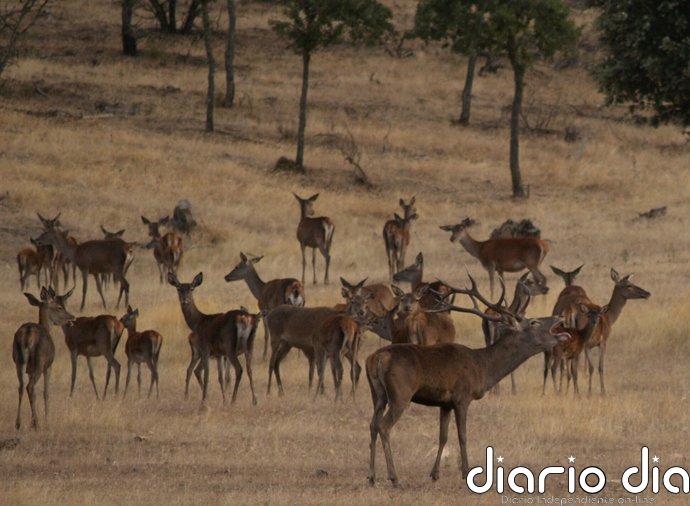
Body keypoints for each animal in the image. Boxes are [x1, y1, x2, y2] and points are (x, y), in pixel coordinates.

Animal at [13, 287, 75, 430]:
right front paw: (47, 420)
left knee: (21, 386)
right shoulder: (49, 366)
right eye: (59, 307)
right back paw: (36, 423)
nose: (72, 317)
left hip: (19, 361)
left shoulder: (29, 370)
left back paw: (18, 423)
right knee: (30, 386)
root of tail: (28, 335)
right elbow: (46, 392)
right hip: (40, 362)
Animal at [168, 272, 257, 407]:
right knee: (249, 369)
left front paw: (204, 402)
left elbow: (207, 375)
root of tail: (244, 318)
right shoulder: (218, 353)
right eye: (178, 288)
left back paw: (233, 400)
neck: (198, 322)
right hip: (249, 345)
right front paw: (223, 400)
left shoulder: (205, 348)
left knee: (239, 369)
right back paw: (254, 400)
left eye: (191, 288)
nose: (185, 300)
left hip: (230, 346)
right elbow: (219, 376)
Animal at [365, 276, 569, 486]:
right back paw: (394, 477)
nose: (559, 317)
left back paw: (372, 476)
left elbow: (443, 436)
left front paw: (435, 474)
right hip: (400, 394)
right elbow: (462, 435)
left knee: (372, 425)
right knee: (384, 426)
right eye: (534, 322)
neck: (482, 369)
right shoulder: (462, 396)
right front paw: (466, 472)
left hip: (377, 393)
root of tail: (376, 359)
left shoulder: (445, 403)